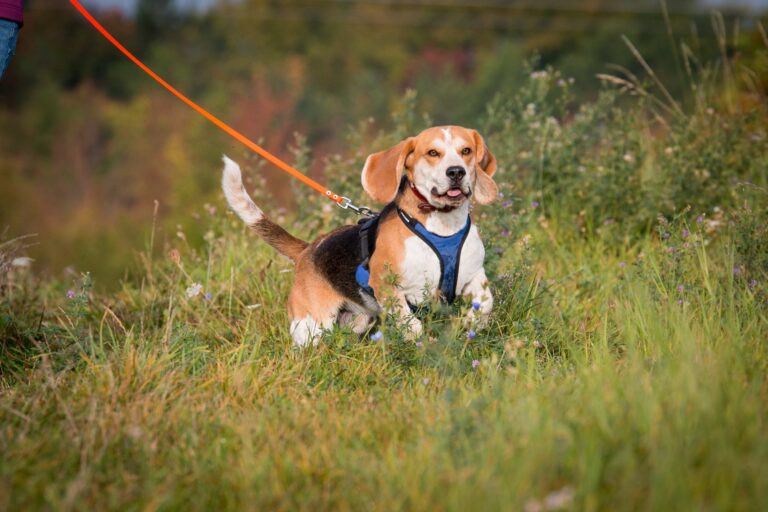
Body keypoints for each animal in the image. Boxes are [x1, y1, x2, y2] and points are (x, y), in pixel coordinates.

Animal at [222, 125, 498, 346]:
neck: (442, 227)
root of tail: (308, 249)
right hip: (312, 325)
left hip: (357, 320)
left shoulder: (474, 275)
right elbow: (412, 324)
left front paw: (472, 324)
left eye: (466, 151)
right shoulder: (388, 286)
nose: (456, 172)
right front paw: (421, 344)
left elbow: (486, 302)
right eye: (432, 153)